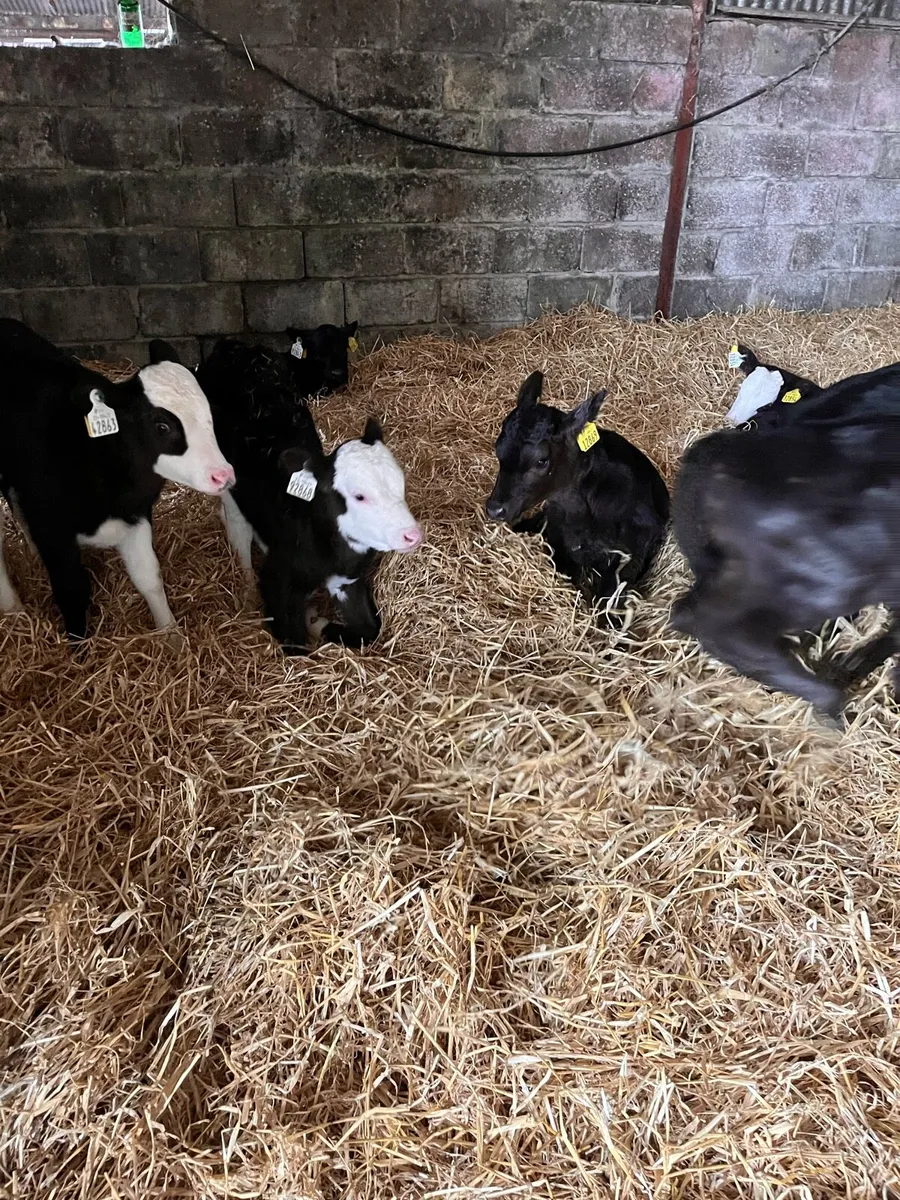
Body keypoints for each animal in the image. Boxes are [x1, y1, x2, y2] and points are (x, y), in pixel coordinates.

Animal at [0, 319, 234, 644]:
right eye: (162, 425)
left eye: (208, 412)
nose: (223, 474)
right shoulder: (53, 529)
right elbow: (71, 589)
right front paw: (79, 647)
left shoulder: (135, 515)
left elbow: (149, 577)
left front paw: (171, 635)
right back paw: (12, 608)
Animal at [196, 338, 422, 654]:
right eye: (359, 496)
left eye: (400, 482)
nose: (412, 534)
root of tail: (232, 345)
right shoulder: (277, 581)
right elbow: (295, 645)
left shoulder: (349, 579)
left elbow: (369, 630)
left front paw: (319, 622)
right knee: (236, 526)